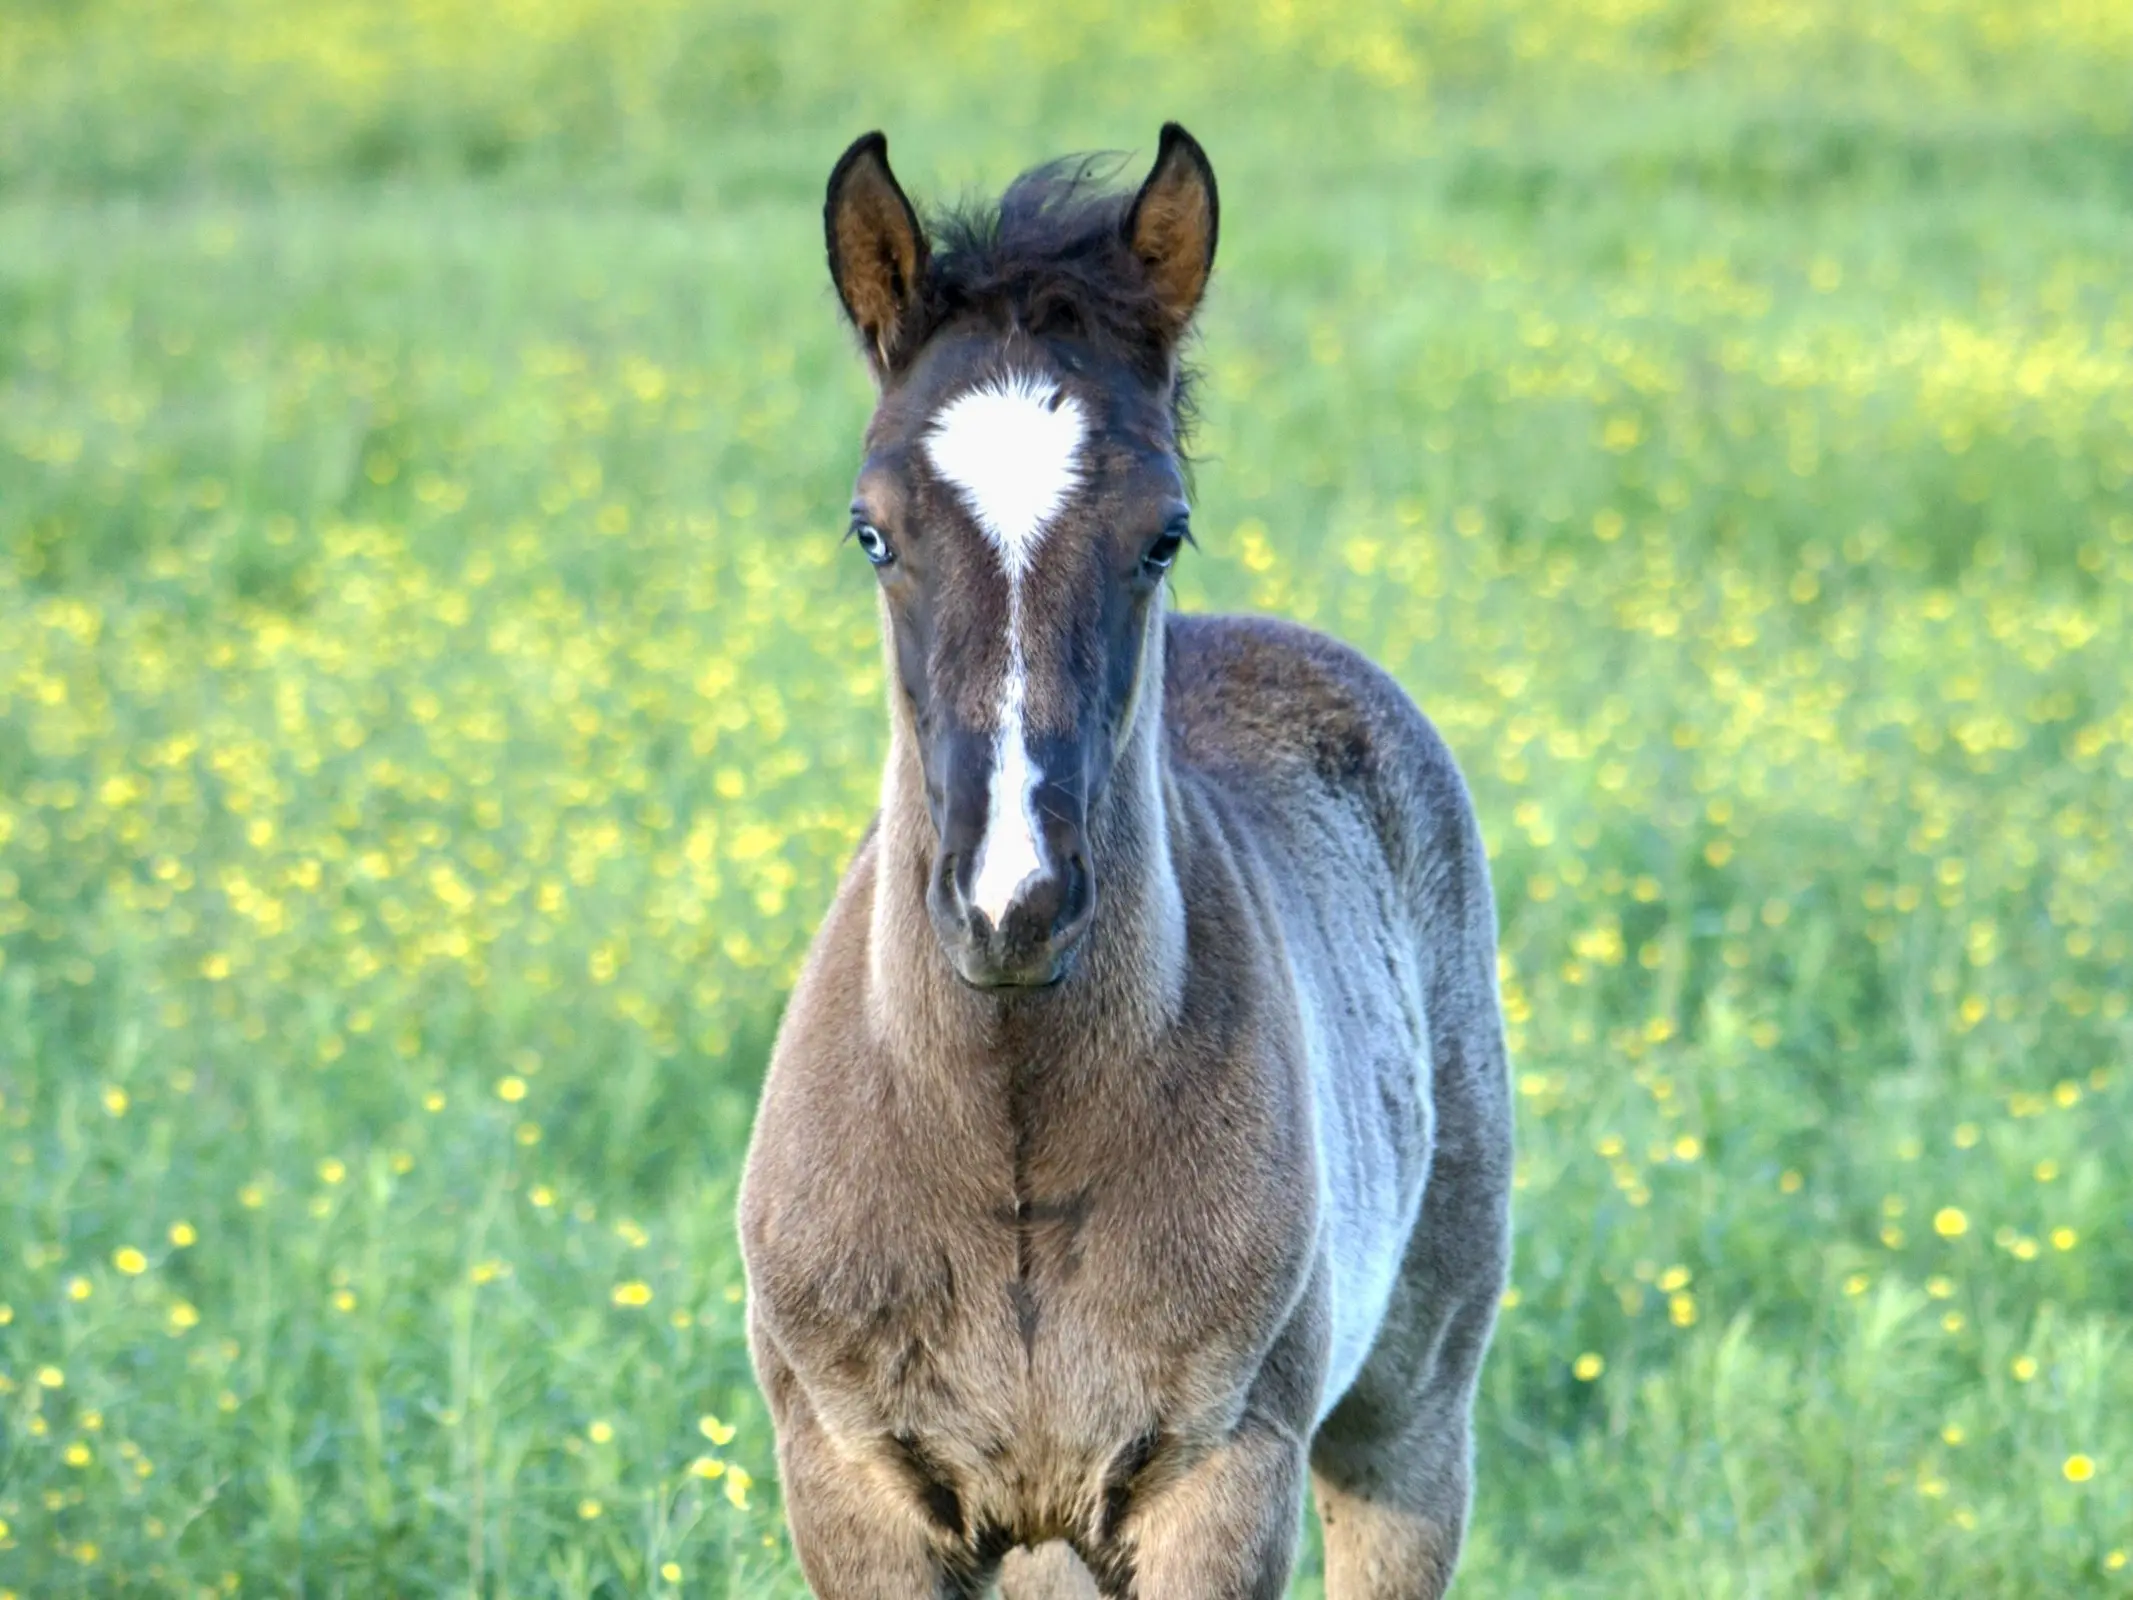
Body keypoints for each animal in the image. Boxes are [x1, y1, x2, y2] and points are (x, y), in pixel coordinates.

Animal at [742, 128, 1510, 1600]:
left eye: (1163, 531)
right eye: (871, 532)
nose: (1012, 905)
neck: (1007, 1146)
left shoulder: (1219, 1488)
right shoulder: (854, 1496)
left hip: (1409, 1419)